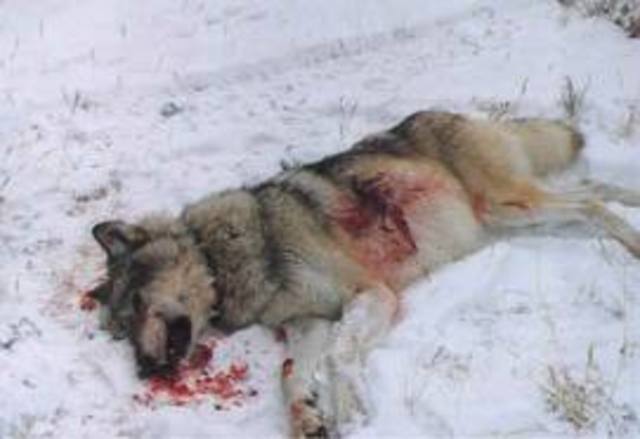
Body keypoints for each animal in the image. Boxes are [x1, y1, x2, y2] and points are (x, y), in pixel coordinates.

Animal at [89, 111, 640, 438]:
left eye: (137, 303)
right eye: (120, 333)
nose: (144, 369)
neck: (228, 256)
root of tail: (461, 113)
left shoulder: (372, 294)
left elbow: (338, 355)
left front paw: (349, 408)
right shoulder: (309, 322)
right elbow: (289, 373)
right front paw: (307, 418)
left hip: (507, 207)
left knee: (590, 203)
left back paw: (632, 244)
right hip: (512, 214)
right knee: (594, 190)